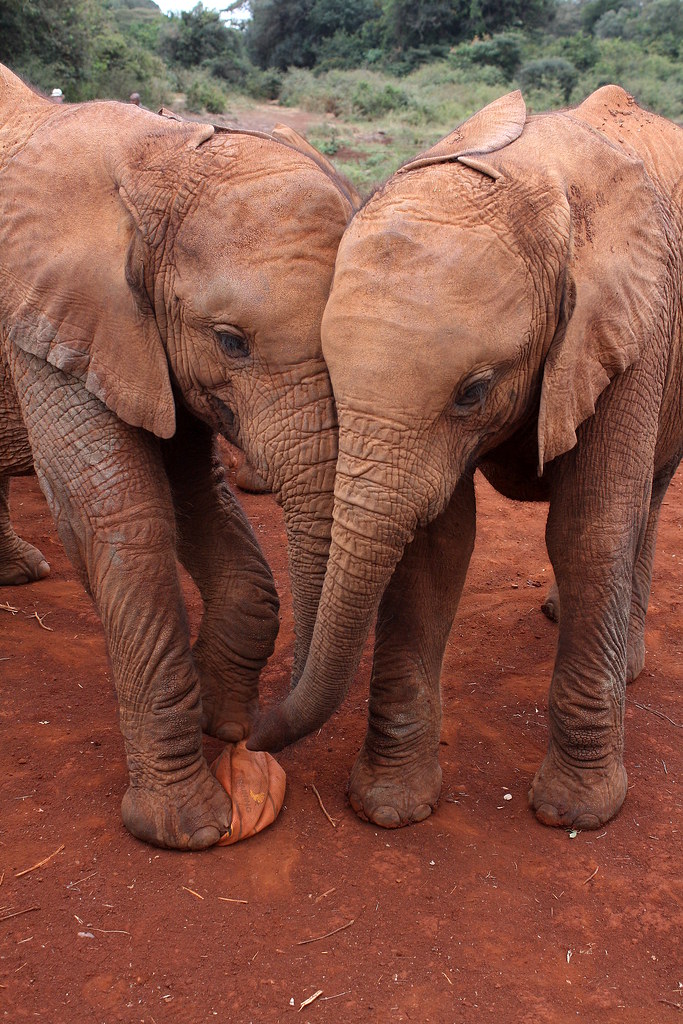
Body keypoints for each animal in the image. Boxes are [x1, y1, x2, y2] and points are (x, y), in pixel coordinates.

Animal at [0, 64, 357, 849]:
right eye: (230, 341)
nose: (261, 737)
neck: (163, 156)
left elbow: (199, 494)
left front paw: (219, 721)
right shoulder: (46, 316)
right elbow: (120, 516)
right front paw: (184, 828)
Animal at [250, 86, 683, 833]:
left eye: (472, 391)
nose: (243, 735)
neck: (524, 182)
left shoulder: (630, 328)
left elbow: (590, 531)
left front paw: (576, 812)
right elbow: (434, 543)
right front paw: (390, 808)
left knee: (645, 501)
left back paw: (624, 665)